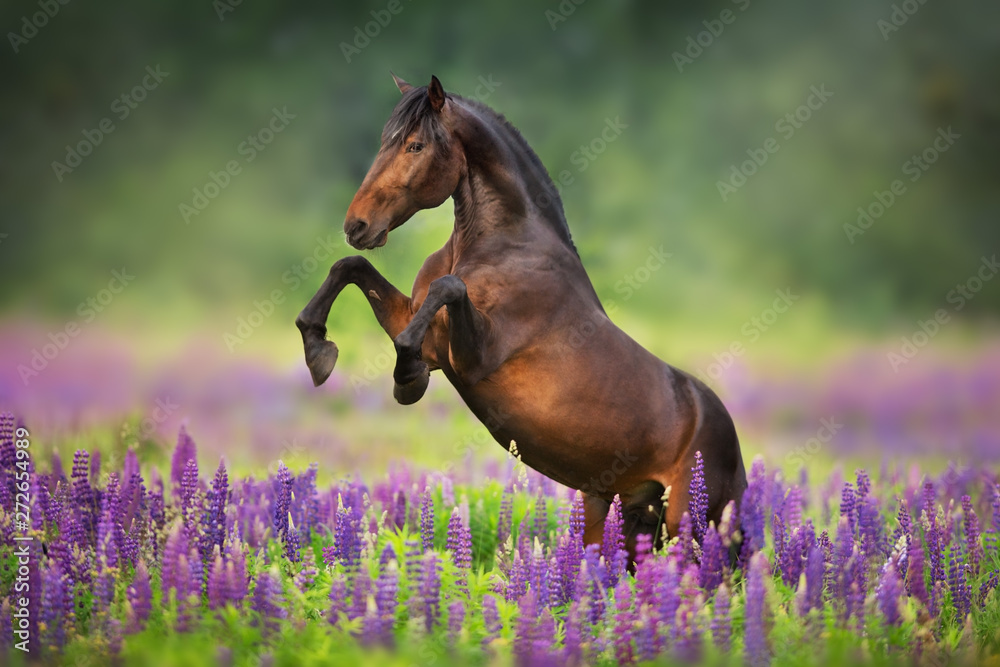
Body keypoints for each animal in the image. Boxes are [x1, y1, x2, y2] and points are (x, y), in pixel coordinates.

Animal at [292, 74, 748, 560]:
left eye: (415, 145)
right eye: (385, 141)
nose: (356, 225)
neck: (506, 244)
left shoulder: (471, 357)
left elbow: (447, 289)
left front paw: (406, 378)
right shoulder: (422, 329)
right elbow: (351, 268)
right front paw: (319, 351)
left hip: (690, 525)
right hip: (620, 515)